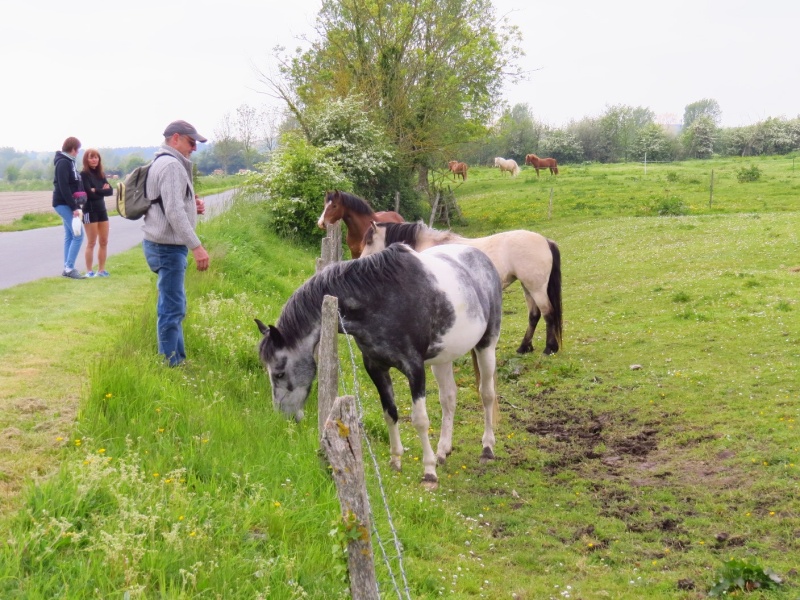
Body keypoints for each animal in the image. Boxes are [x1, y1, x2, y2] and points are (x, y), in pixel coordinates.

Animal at [256, 241, 504, 486]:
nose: (285, 417)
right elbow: (390, 413)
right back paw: (443, 451)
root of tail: (482, 257)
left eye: (279, 373)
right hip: (443, 357)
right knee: (449, 398)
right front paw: (396, 460)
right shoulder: (376, 367)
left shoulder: (415, 368)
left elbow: (420, 420)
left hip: (486, 345)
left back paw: (487, 448)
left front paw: (429, 471)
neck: (382, 299)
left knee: (487, 394)